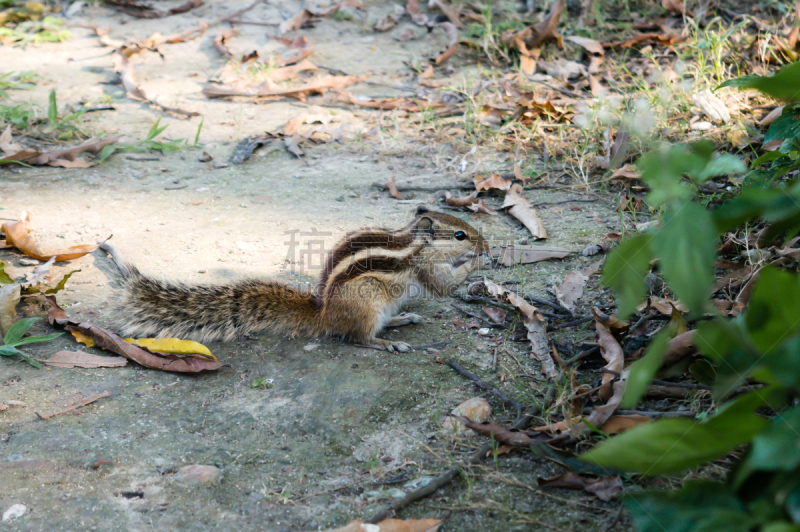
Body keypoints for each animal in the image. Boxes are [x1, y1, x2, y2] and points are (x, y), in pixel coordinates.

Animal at [100, 208, 488, 354]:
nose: (484, 243)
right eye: (459, 235)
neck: (415, 242)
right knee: (357, 338)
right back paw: (386, 343)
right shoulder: (425, 267)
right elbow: (442, 285)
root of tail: (324, 314)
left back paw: (402, 319)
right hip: (366, 306)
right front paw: (476, 260)